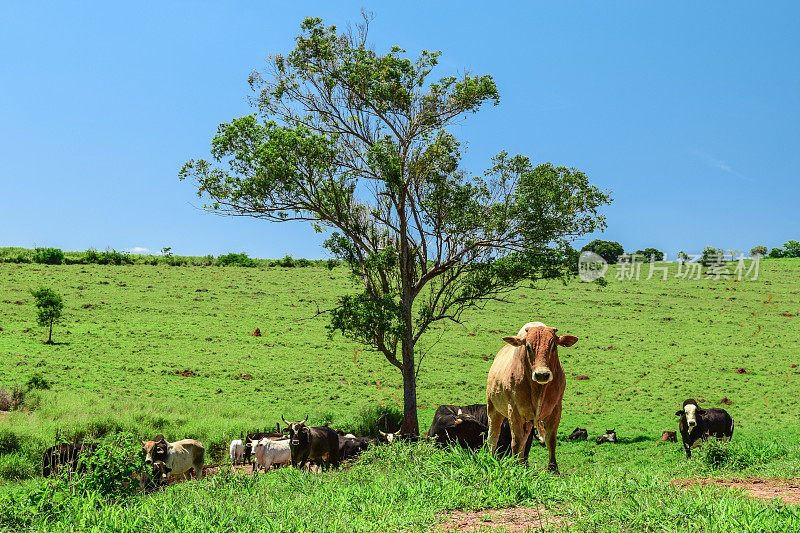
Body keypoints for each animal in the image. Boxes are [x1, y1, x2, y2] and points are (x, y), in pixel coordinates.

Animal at [484, 322, 580, 472]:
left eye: (554, 346)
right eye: (528, 346)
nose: (542, 374)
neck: (538, 389)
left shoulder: (556, 409)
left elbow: (551, 439)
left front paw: (553, 469)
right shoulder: (514, 411)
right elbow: (516, 441)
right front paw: (514, 466)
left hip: (528, 420)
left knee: (525, 439)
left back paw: (522, 463)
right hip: (493, 409)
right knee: (493, 437)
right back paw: (492, 458)